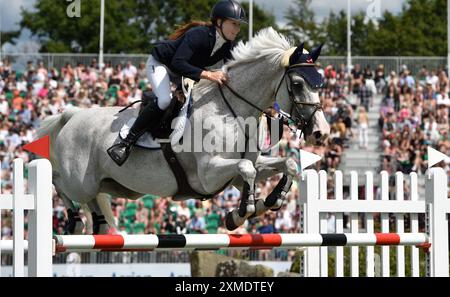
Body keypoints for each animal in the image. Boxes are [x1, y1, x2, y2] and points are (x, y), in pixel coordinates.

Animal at [37, 27, 328, 234]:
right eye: (298, 83)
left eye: (321, 82)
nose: (321, 132)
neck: (231, 109)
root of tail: (73, 114)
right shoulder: (209, 173)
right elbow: (247, 169)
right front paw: (242, 211)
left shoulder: (236, 173)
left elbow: (284, 163)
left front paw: (269, 201)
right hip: (79, 181)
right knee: (57, 181)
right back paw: (74, 220)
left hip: (115, 186)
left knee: (94, 200)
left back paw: (97, 223)